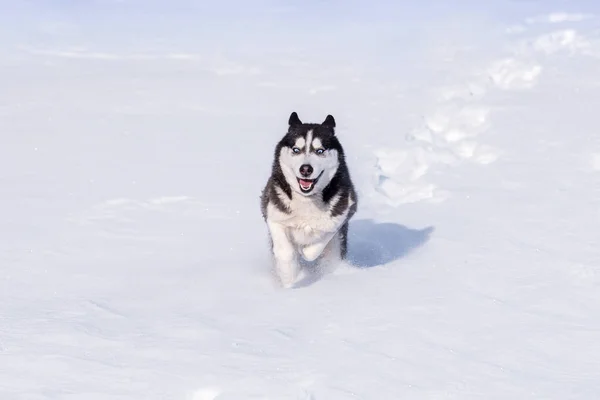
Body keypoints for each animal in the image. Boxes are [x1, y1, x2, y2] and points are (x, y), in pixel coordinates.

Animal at [258, 112, 356, 288]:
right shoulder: (274, 214)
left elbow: (317, 244)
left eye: (320, 150)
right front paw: (289, 279)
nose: (305, 169)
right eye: (296, 150)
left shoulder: (341, 214)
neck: (307, 200)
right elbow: (285, 252)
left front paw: (305, 252)